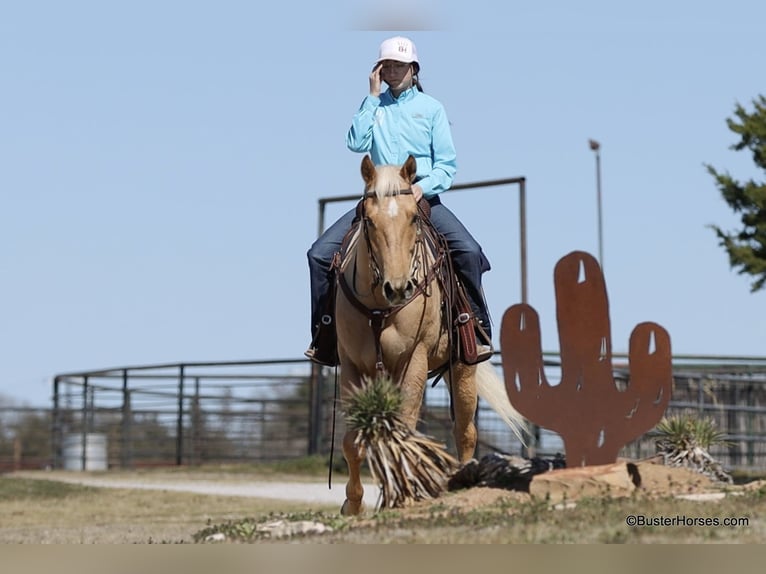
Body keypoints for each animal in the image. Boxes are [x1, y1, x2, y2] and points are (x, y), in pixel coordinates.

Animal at [334, 154, 527, 515]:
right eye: (368, 220)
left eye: (412, 217)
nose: (398, 287)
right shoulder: (353, 365)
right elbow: (353, 440)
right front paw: (352, 505)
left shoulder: (414, 360)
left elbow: (408, 428)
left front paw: (404, 497)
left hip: (462, 369)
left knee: (465, 432)